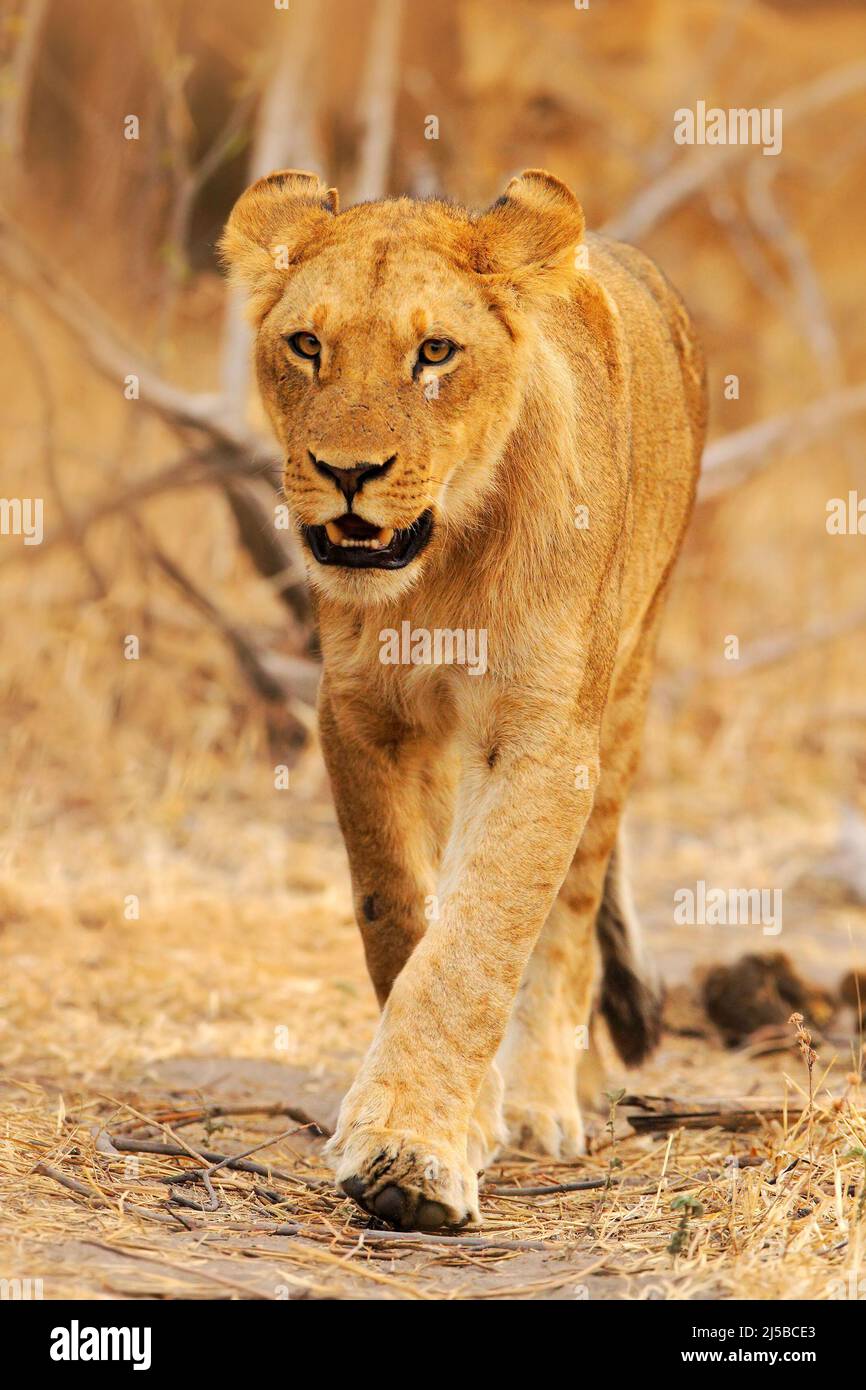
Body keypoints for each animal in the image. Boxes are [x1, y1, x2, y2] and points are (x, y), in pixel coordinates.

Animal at [220, 168, 706, 1230]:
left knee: (570, 923)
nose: (348, 475)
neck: (441, 567)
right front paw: (444, 1125)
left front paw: (413, 1157)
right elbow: (402, 915)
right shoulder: (364, 717)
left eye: (434, 351)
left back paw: (544, 1106)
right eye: (306, 344)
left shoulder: (541, 737)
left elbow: (481, 940)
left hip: (627, 689)